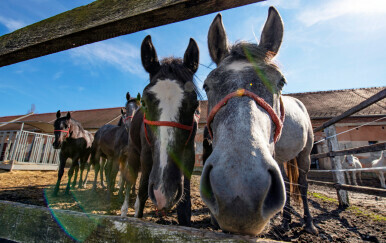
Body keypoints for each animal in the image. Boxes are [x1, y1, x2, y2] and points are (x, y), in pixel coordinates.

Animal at [120, 34, 199, 226]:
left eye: (195, 105)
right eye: (145, 103)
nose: (164, 192)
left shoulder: (189, 156)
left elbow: (185, 207)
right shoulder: (146, 156)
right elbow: (141, 192)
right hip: (133, 153)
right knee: (129, 179)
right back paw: (124, 210)